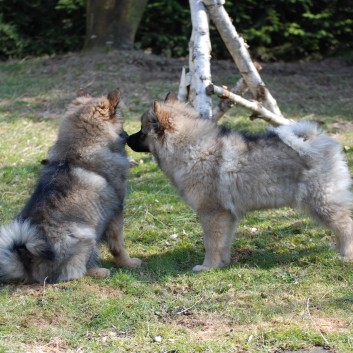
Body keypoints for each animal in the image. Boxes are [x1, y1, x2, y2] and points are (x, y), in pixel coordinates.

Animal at [0, 88, 140, 284]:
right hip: (87, 236)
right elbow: (118, 246)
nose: (128, 135)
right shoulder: (116, 213)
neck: (75, 153)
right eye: (122, 122)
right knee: (76, 271)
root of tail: (26, 262)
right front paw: (128, 263)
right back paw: (99, 271)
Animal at [126, 92, 352, 270]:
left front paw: (207, 267)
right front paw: (221, 263)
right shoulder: (227, 215)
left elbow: (211, 242)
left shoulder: (211, 213)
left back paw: (345, 254)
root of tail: (317, 140)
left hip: (321, 202)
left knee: (345, 225)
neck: (193, 150)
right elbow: (223, 243)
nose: (126, 137)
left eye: (142, 130)